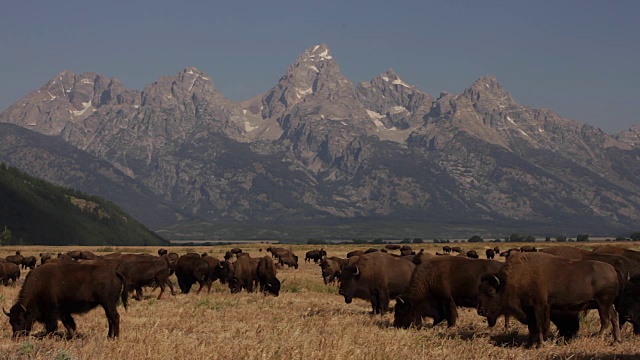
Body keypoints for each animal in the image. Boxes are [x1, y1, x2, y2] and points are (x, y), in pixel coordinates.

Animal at [476, 250, 620, 346]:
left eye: (490, 291)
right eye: (480, 290)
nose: (480, 311)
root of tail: (613, 270)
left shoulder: (539, 307)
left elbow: (540, 326)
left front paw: (540, 345)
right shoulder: (528, 310)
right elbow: (532, 328)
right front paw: (529, 344)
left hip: (603, 303)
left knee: (605, 320)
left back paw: (599, 338)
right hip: (607, 304)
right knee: (614, 318)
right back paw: (616, 340)